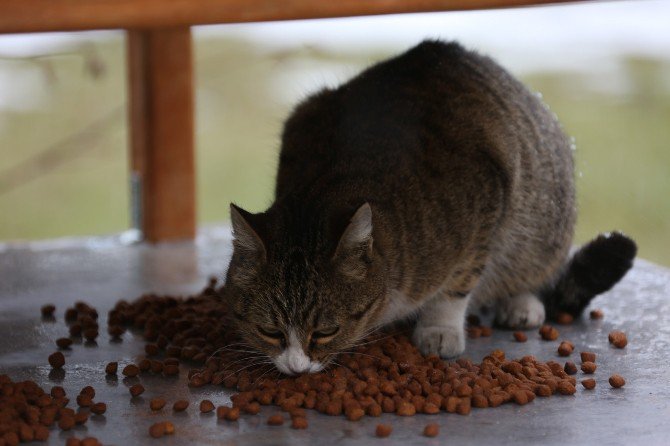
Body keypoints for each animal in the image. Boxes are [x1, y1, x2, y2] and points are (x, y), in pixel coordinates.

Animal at [223, 40, 636, 374]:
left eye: (325, 332)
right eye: (269, 330)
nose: (295, 367)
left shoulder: (486, 198)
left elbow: (459, 281)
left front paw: (440, 328)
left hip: (543, 223)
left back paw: (521, 304)